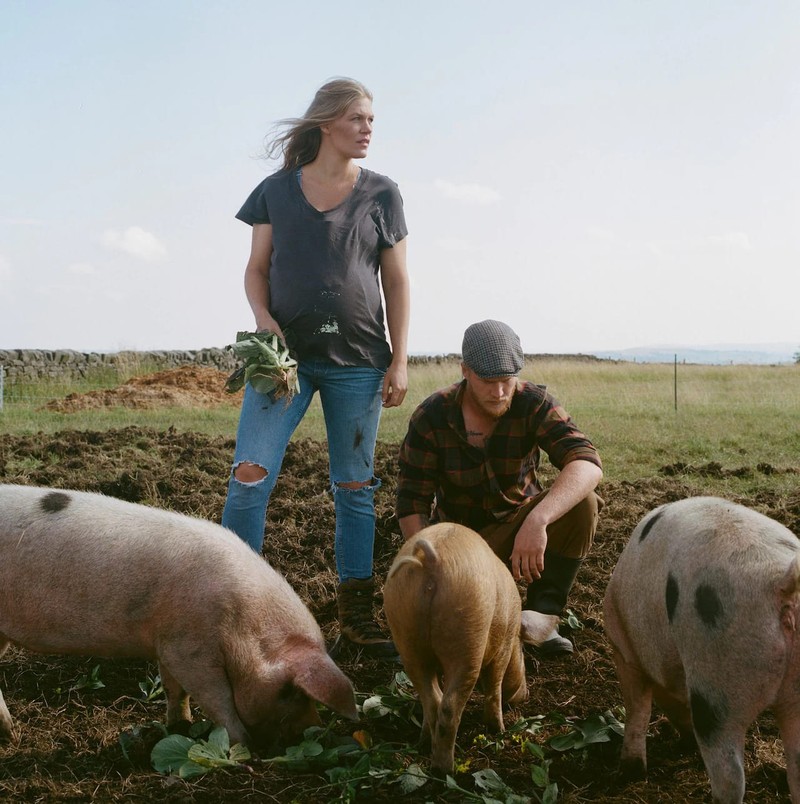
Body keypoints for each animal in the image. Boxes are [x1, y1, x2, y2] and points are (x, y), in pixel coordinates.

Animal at [0, 484, 356, 752]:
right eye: (291, 692)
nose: (314, 732)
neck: (243, 624)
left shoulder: (169, 641)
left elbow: (175, 689)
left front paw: (180, 728)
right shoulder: (191, 649)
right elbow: (217, 699)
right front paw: (243, 749)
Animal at [604, 496, 800, 804]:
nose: (684, 745)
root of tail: (782, 582)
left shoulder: (625, 650)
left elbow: (637, 709)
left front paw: (629, 774)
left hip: (718, 685)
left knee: (730, 776)